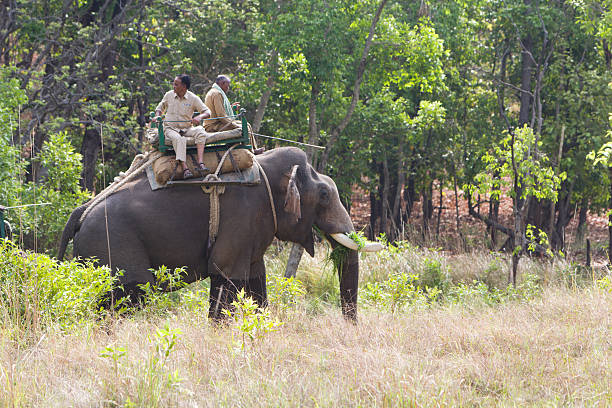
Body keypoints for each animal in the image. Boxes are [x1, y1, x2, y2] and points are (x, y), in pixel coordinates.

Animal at [58, 147, 382, 318]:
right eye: (325, 195)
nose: (350, 325)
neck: (265, 168)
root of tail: (80, 213)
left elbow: (255, 279)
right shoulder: (242, 215)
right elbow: (226, 273)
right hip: (112, 246)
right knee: (125, 299)